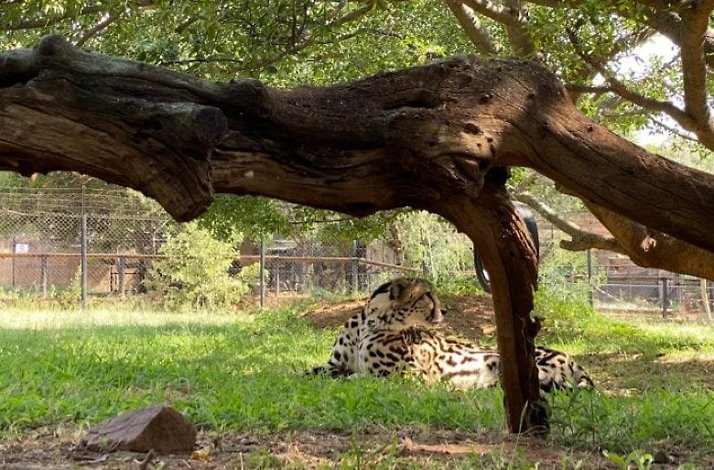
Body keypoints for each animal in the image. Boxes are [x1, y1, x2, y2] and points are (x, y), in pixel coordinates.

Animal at [309, 277, 593, 392]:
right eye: (427, 295)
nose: (444, 309)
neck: (371, 323)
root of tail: (576, 362)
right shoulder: (333, 364)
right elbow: (314, 371)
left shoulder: (414, 376)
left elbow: (361, 377)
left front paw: (348, 379)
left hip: (508, 361)